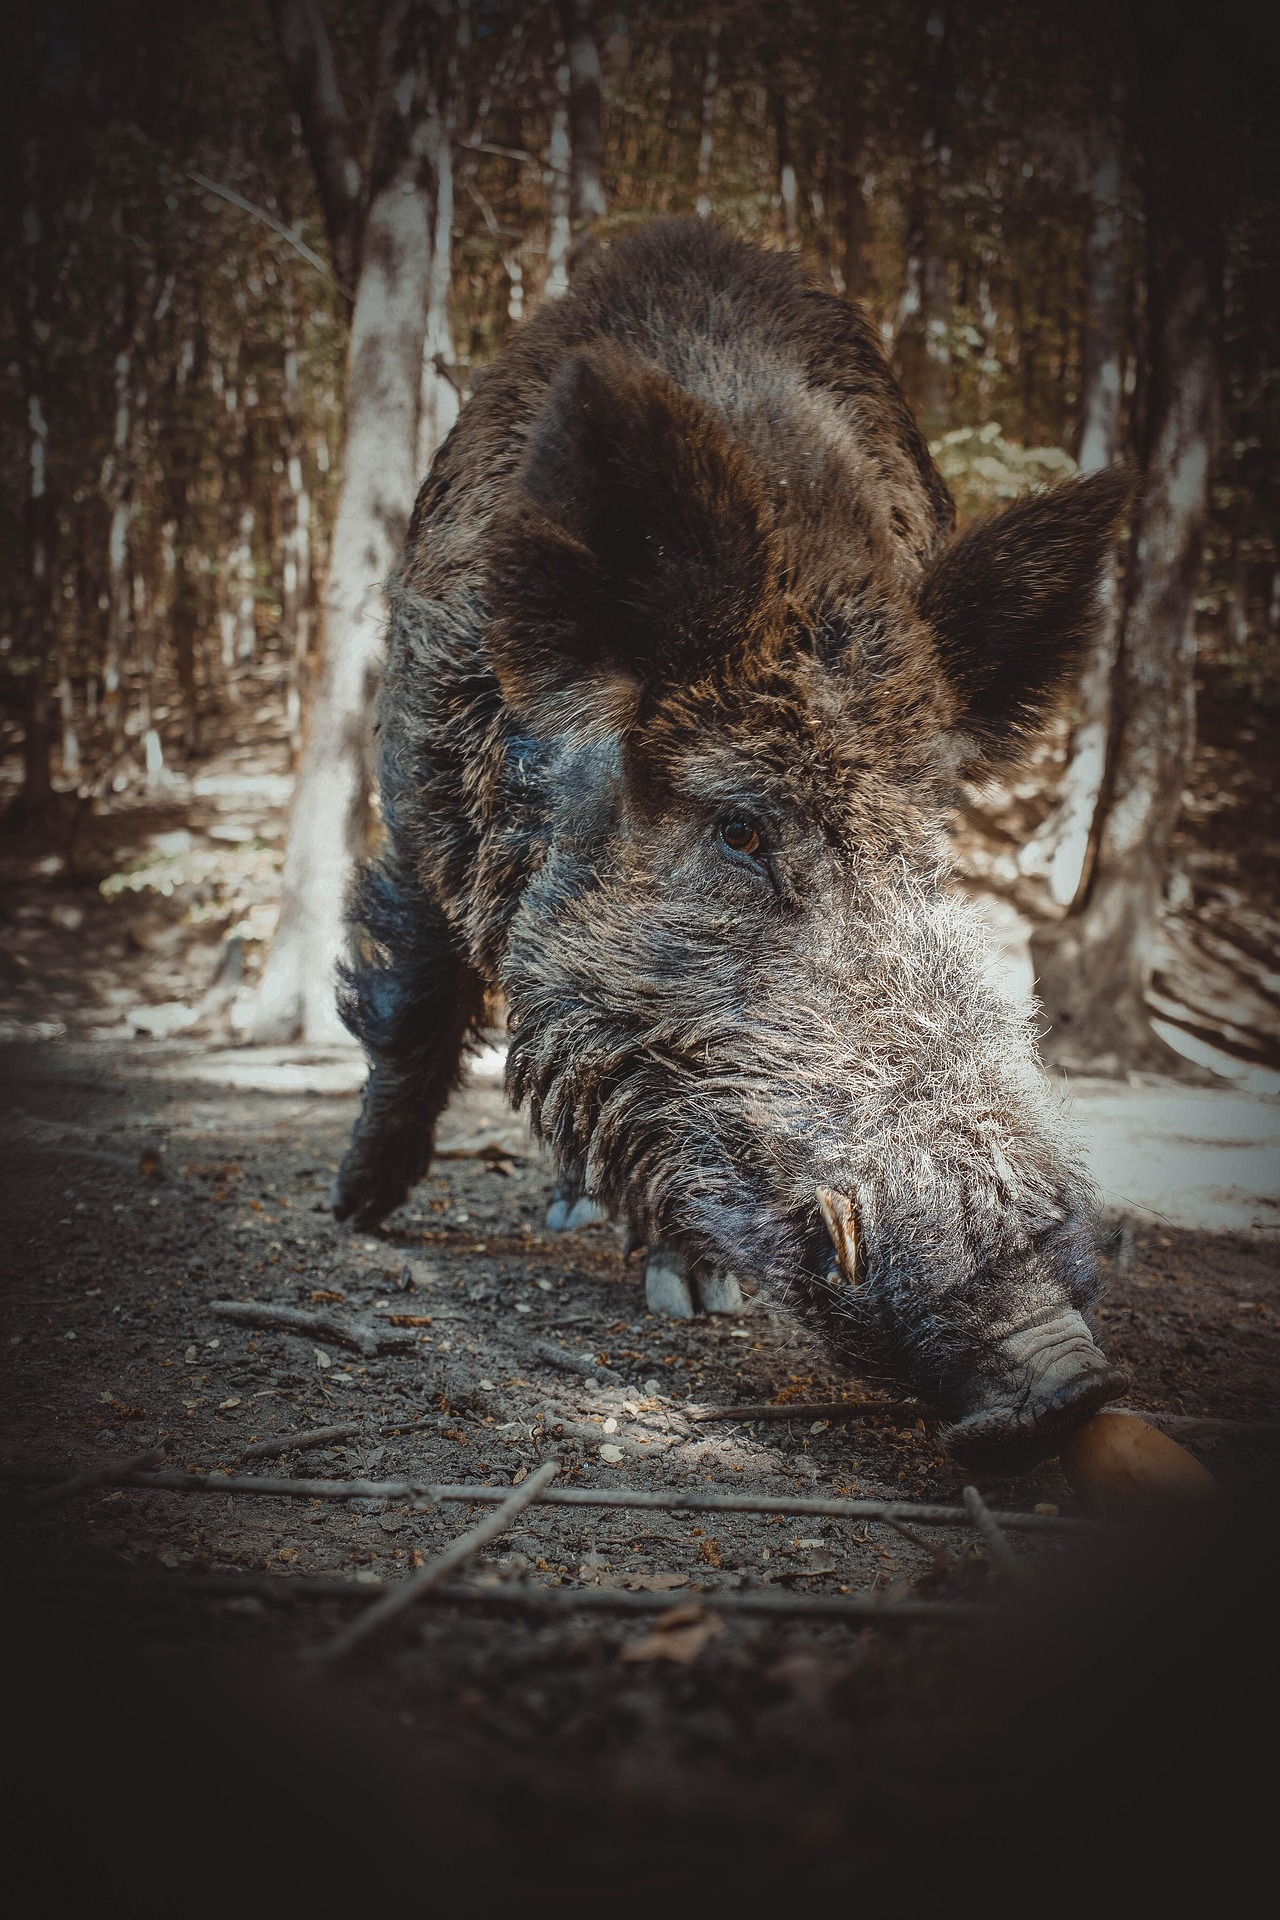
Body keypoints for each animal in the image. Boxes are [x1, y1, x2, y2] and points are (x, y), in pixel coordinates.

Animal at [332, 218, 1130, 1473]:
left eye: (926, 841)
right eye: (740, 827)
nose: (1066, 1381)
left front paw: (696, 1296)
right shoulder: (414, 803)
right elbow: (412, 1001)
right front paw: (353, 1210)